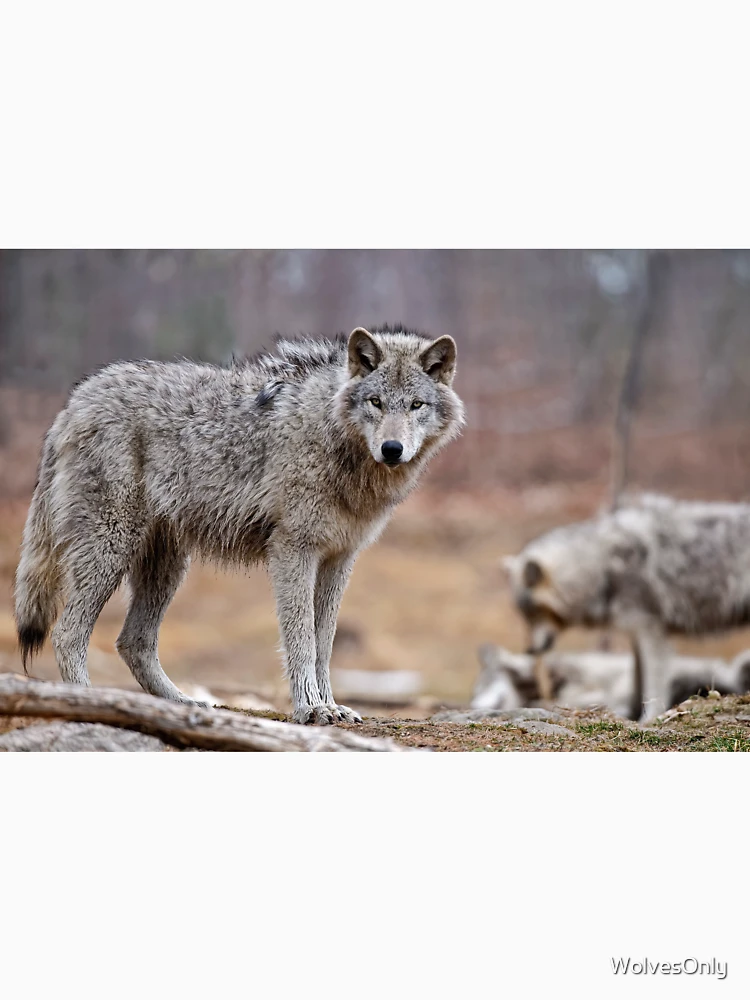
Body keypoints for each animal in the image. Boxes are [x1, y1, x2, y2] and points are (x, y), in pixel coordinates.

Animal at [14, 326, 464, 725]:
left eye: (415, 405)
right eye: (375, 402)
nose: (392, 449)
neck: (330, 433)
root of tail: (74, 401)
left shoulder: (339, 559)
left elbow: (324, 644)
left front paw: (332, 706)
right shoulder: (293, 552)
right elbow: (301, 639)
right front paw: (311, 709)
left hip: (167, 566)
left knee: (133, 643)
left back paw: (180, 704)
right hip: (112, 549)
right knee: (68, 634)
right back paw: (91, 705)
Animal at [503, 495, 750, 721]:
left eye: (533, 613)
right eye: (525, 616)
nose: (530, 650)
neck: (603, 567)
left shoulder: (652, 632)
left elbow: (653, 685)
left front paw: (648, 718)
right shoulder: (636, 634)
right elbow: (637, 683)